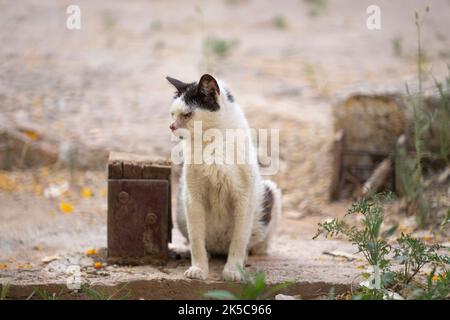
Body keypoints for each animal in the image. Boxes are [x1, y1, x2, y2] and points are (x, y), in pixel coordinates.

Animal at [167, 74, 280, 280]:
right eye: (172, 114)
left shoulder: (244, 197)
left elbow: (239, 240)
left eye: (187, 115)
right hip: (180, 205)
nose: (172, 126)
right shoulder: (192, 197)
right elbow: (196, 240)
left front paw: (233, 270)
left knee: (256, 244)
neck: (212, 143)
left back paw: (246, 256)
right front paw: (199, 269)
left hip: (270, 193)